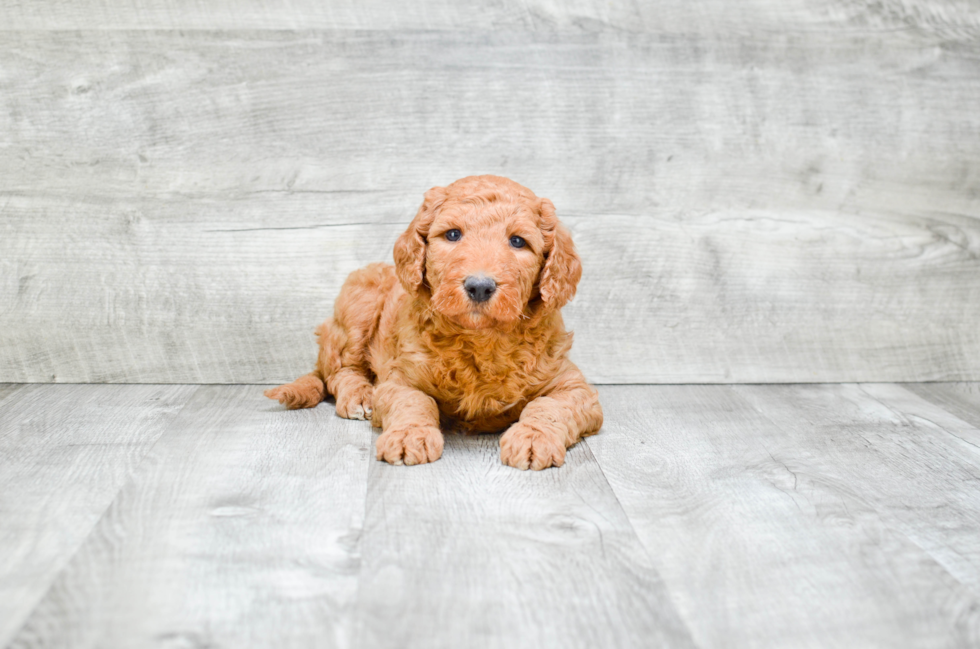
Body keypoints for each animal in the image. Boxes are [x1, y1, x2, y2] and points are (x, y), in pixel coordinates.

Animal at [268, 176, 604, 470]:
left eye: (518, 241)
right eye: (453, 234)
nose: (479, 286)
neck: (481, 339)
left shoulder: (573, 386)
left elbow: (549, 406)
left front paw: (534, 439)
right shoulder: (400, 377)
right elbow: (414, 401)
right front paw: (409, 435)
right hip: (358, 301)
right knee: (339, 370)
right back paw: (359, 395)